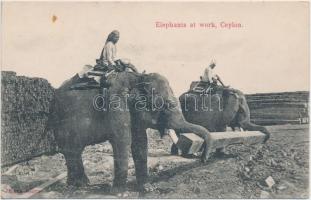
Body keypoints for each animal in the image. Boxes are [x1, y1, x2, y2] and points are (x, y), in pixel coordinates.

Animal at [50, 71, 211, 194]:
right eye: (166, 106)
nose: (203, 160)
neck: (137, 77)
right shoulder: (116, 106)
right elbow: (122, 142)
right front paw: (119, 193)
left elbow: (140, 143)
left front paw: (147, 188)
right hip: (62, 124)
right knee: (71, 151)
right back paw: (77, 185)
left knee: (74, 151)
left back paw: (81, 184)